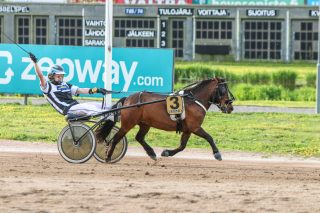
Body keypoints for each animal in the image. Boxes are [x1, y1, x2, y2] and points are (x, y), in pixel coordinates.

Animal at [95, 77, 235, 162]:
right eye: (223, 90)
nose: (231, 107)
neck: (193, 100)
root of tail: (128, 99)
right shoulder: (195, 127)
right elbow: (209, 137)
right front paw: (217, 153)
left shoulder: (188, 129)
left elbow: (182, 146)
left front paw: (167, 152)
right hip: (128, 124)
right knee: (116, 138)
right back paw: (108, 157)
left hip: (145, 124)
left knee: (139, 137)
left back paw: (151, 153)